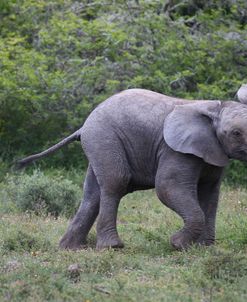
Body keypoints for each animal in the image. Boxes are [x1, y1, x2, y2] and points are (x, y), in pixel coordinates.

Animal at [18, 87, 247, 250]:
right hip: (104, 138)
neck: (214, 108)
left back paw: (70, 248)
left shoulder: (212, 152)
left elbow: (210, 194)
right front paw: (178, 244)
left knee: (93, 193)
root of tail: (83, 126)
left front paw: (204, 248)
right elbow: (167, 188)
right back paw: (112, 247)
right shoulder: (176, 151)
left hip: (98, 142)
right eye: (236, 133)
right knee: (115, 182)